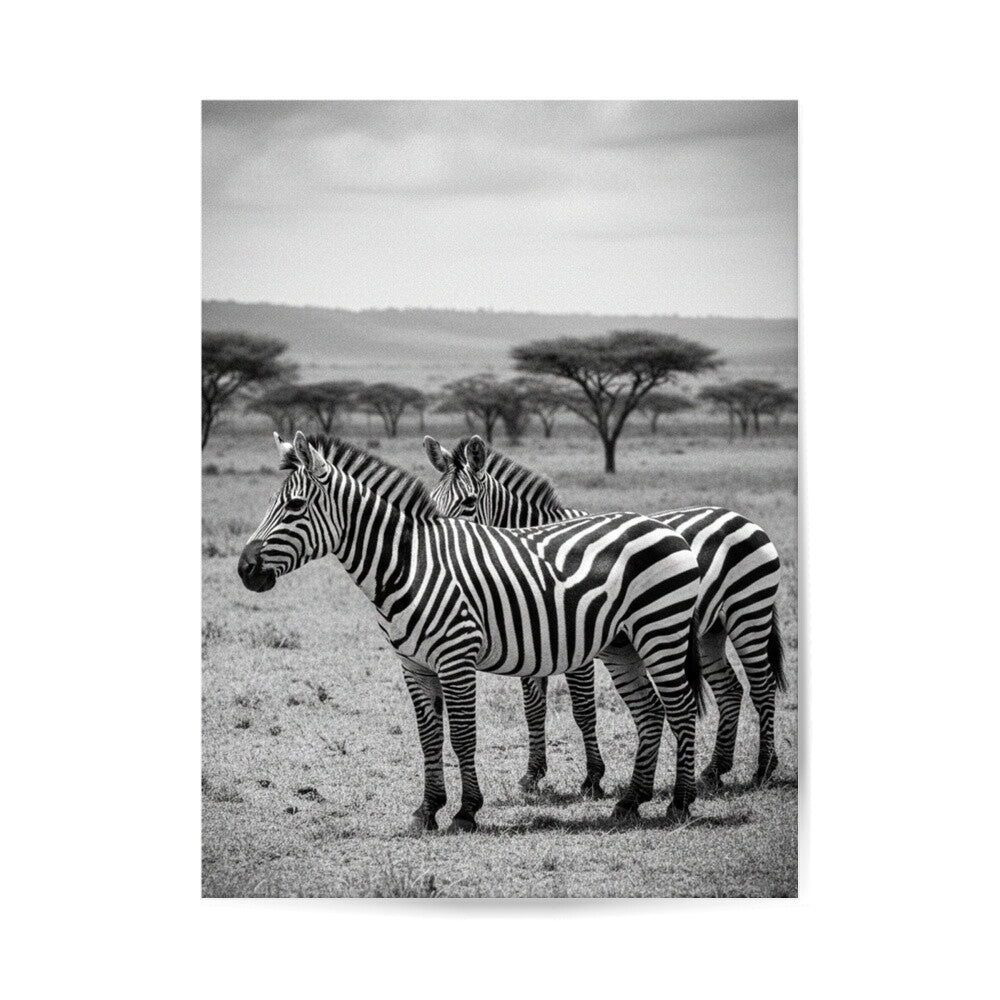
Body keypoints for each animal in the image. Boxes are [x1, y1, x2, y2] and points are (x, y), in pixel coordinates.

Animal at [238, 431, 705, 832]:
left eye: (295, 506)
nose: (244, 569)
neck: (409, 565)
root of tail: (663, 526)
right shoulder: (414, 666)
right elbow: (429, 739)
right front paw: (427, 810)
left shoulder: (455, 658)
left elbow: (463, 736)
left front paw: (466, 812)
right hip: (623, 644)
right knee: (650, 712)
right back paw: (630, 801)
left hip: (661, 631)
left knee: (680, 708)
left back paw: (680, 802)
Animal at [424, 433, 786, 791]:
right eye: (432, 500)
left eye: (469, 502)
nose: (439, 546)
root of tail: (740, 516)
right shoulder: (530, 641)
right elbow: (533, 708)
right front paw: (533, 773)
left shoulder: (575, 644)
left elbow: (583, 709)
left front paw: (593, 776)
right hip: (711, 630)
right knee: (730, 689)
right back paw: (714, 769)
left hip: (748, 613)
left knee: (762, 685)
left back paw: (764, 768)